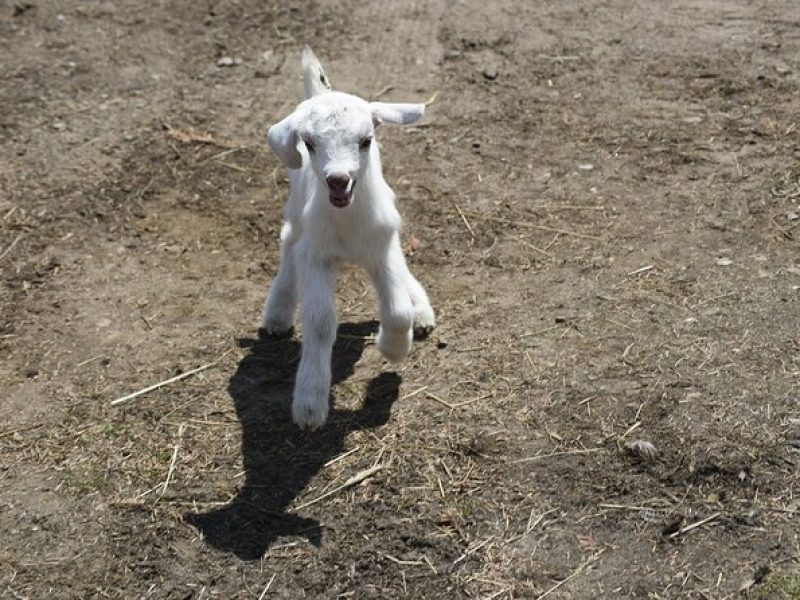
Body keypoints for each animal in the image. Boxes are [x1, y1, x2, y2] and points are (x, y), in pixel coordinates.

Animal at [260, 49, 438, 428]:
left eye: (366, 141)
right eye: (310, 144)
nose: (338, 180)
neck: (346, 223)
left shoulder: (380, 248)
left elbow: (397, 310)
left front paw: (393, 349)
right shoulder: (315, 255)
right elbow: (320, 322)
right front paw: (310, 404)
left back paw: (420, 308)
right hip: (296, 211)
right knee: (288, 240)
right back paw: (278, 313)